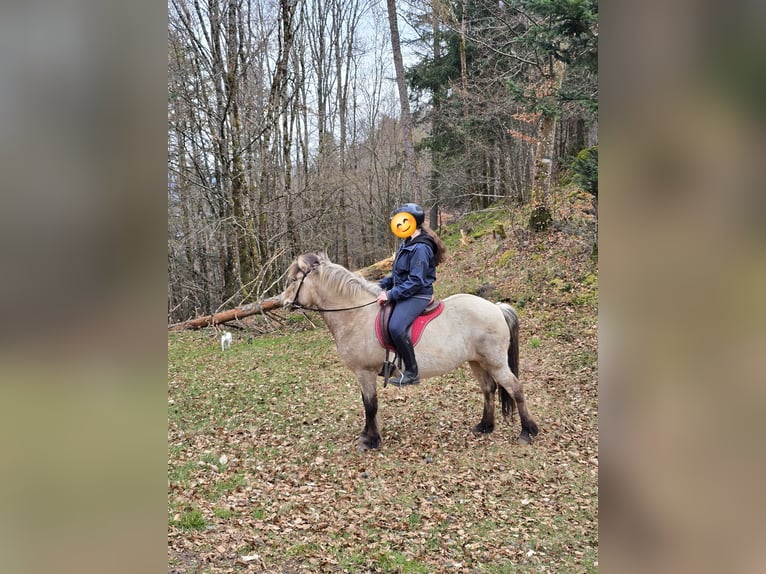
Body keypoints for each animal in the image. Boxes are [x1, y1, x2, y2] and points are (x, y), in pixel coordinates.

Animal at [279, 252, 539, 451]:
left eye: (292, 280)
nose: (282, 302)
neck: (357, 315)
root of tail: (496, 307)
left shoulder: (364, 372)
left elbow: (370, 405)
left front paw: (370, 441)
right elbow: (368, 404)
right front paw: (369, 434)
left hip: (496, 363)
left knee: (515, 388)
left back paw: (528, 431)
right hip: (476, 361)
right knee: (488, 389)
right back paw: (485, 426)